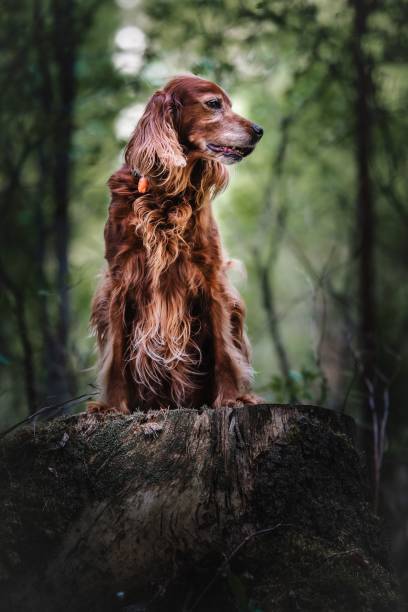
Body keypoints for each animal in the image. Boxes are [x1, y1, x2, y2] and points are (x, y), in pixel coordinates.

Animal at [88, 74, 264, 414]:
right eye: (213, 103)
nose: (259, 130)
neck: (167, 192)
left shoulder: (211, 276)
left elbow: (224, 349)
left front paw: (230, 398)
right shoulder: (118, 278)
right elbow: (115, 351)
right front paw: (113, 406)